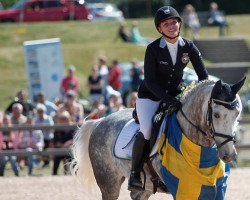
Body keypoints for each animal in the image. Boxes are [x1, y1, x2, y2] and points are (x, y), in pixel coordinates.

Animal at [71, 78, 245, 200]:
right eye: (216, 114)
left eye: (237, 114)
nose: (229, 155)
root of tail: (100, 121)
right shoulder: (182, 186)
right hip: (109, 183)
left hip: (144, 187)